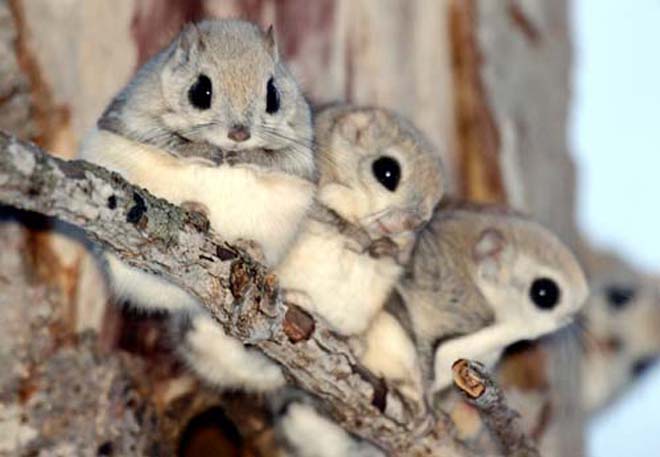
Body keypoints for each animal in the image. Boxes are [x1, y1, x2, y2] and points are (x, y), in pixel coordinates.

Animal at [79, 19, 315, 391]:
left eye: (273, 95)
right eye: (200, 91)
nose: (239, 135)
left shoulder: (301, 153)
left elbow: (281, 159)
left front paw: (247, 156)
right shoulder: (134, 118)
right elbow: (170, 140)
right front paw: (206, 151)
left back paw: (251, 249)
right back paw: (195, 210)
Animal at [275, 104, 445, 336]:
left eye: (434, 206)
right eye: (387, 172)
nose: (412, 223)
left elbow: (401, 254)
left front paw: (384, 247)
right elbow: (329, 212)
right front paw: (357, 237)